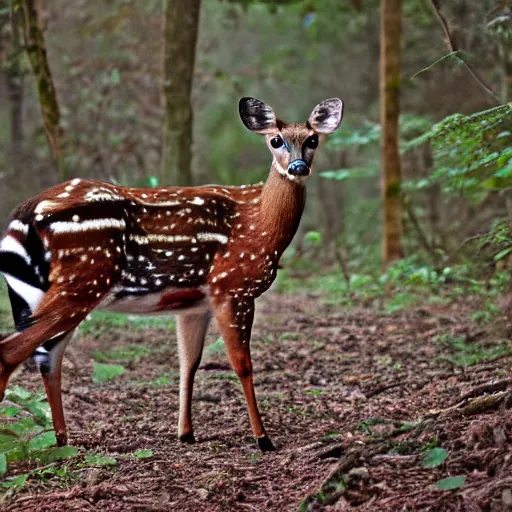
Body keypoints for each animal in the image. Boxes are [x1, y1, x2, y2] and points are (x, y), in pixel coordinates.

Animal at [1, 97, 344, 452]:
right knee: (12, 351)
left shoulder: (195, 303)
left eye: (313, 139)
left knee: (47, 359)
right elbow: (242, 366)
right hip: (82, 282)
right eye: (275, 140)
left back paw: (63, 439)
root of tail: (22, 217)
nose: (298, 168)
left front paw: (186, 433)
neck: (259, 224)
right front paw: (263, 439)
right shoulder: (232, 287)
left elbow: (188, 363)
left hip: (49, 292)